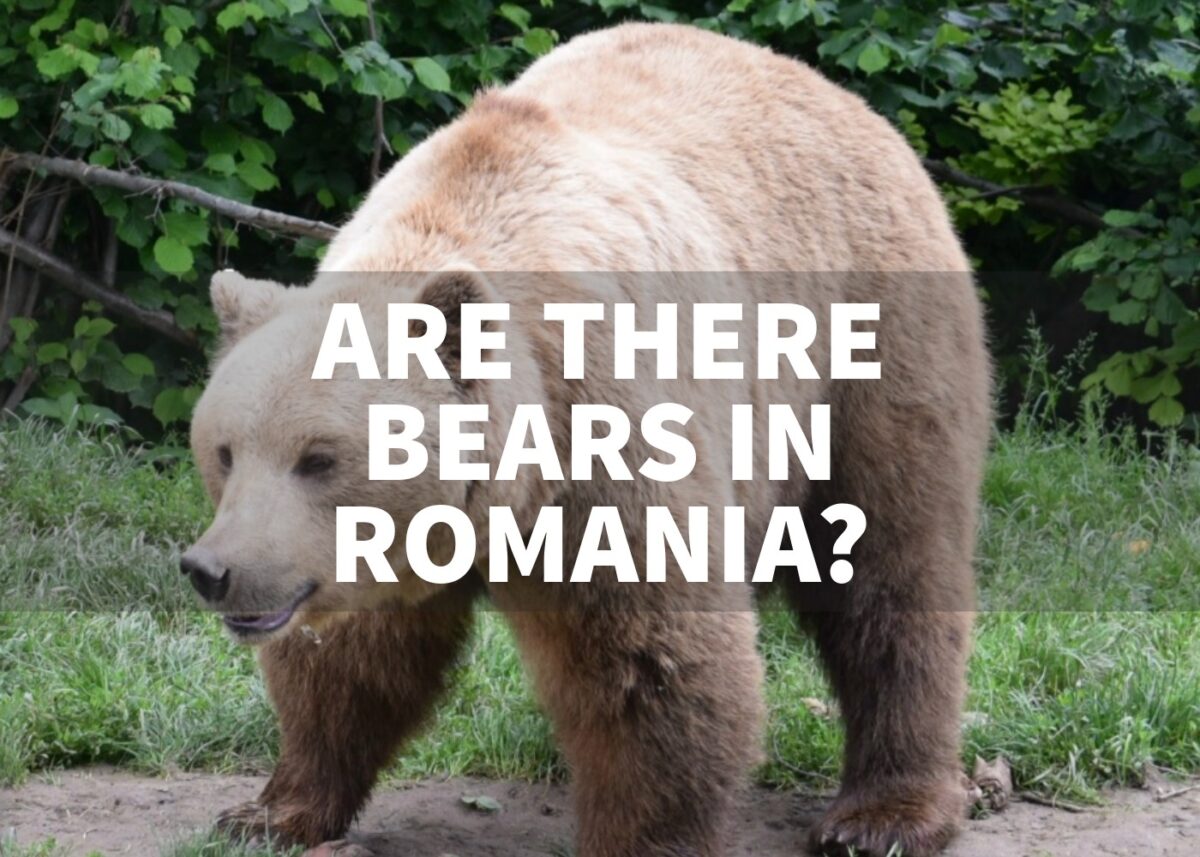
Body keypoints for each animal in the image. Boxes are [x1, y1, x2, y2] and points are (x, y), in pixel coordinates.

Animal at [182, 22, 990, 857]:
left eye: (318, 457)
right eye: (226, 450)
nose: (214, 569)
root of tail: (840, 98)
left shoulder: (604, 436)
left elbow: (649, 662)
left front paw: (647, 834)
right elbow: (349, 656)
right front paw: (272, 810)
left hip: (866, 348)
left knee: (890, 566)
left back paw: (884, 813)